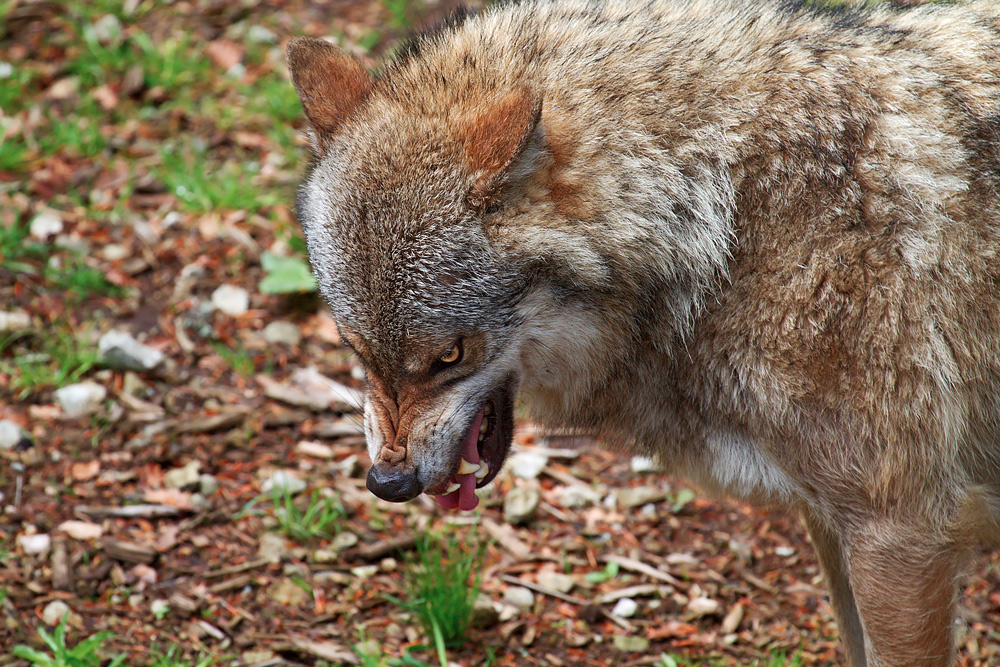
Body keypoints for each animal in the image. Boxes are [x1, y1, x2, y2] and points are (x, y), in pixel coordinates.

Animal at [285, 0, 1000, 664]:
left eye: (450, 355)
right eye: (356, 349)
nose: (389, 483)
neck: (723, 223)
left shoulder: (900, 530)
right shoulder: (833, 518)